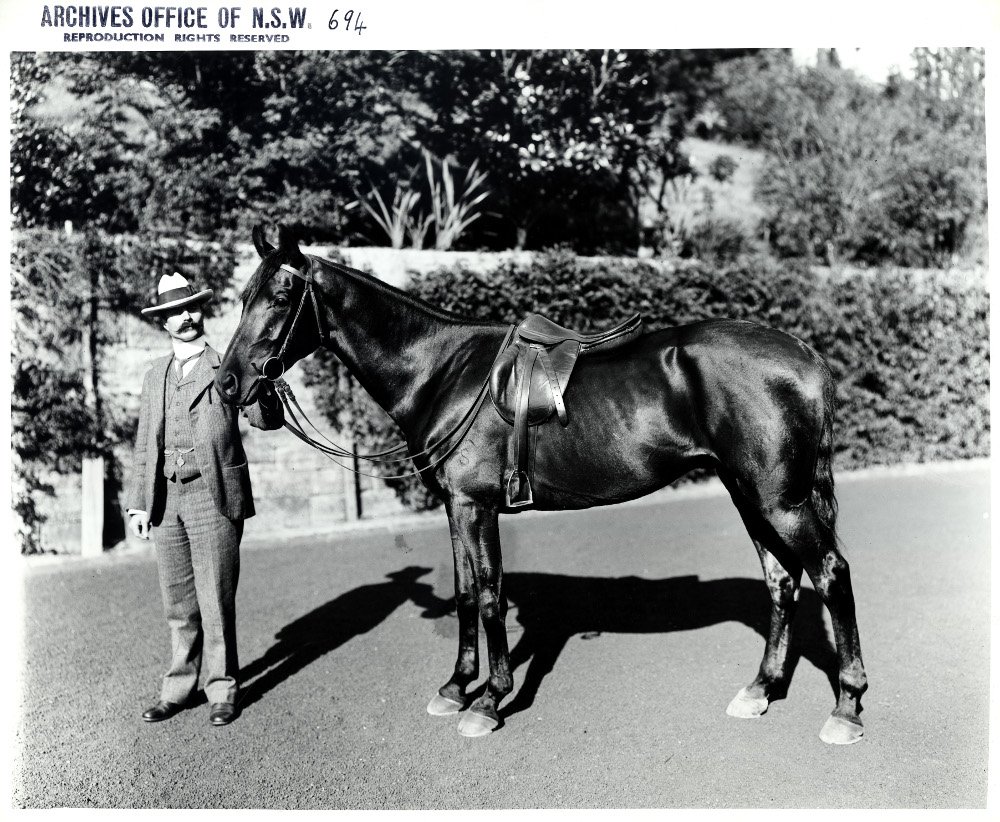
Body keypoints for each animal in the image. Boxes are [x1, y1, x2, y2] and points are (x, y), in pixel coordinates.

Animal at [215, 225, 868, 745]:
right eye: (243, 297)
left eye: (281, 297)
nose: (228, 384)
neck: (442, 371)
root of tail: (805, 355)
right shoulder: (456, 507)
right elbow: (465, 595)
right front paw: (455, 687)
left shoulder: (475, 506)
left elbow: (487, 596)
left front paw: (487, 701)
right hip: (748, 492)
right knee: (781, 579)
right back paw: (760, 689)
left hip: (779, 499)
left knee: (829, 572)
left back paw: (847, 706)